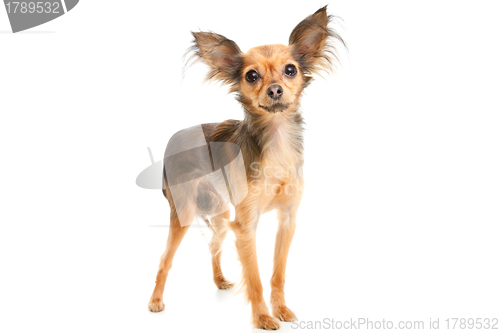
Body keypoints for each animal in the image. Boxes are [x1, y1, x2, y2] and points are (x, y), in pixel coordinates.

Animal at [148, 5, 344, 330]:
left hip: (219, 212)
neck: (276, 141)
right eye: (251, 76)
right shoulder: (245, 226)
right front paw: (263, 317)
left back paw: (219, 281)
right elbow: (254, 279)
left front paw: (282, 309)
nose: (275, 90)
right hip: (186, 211)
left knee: (213, 246)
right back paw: (155, 301)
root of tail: (172, 141)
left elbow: (277, 273)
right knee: (165, 258)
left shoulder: (287, 220)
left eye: (291, 70)